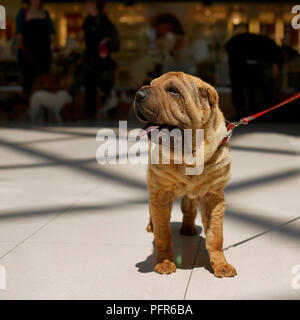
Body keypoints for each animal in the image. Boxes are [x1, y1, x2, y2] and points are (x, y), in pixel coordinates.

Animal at [134, 72, 237, 278]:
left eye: (173, 91)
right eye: (151, 84)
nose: (139, 94)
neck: (189, 155)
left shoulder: (213, 196)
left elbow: (216, 235)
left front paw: (221, 265)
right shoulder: (160, 193)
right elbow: (163, 234)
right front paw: (164, 262)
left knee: (189, 209)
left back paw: (188, 228)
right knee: (152, 211)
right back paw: (151, 225)